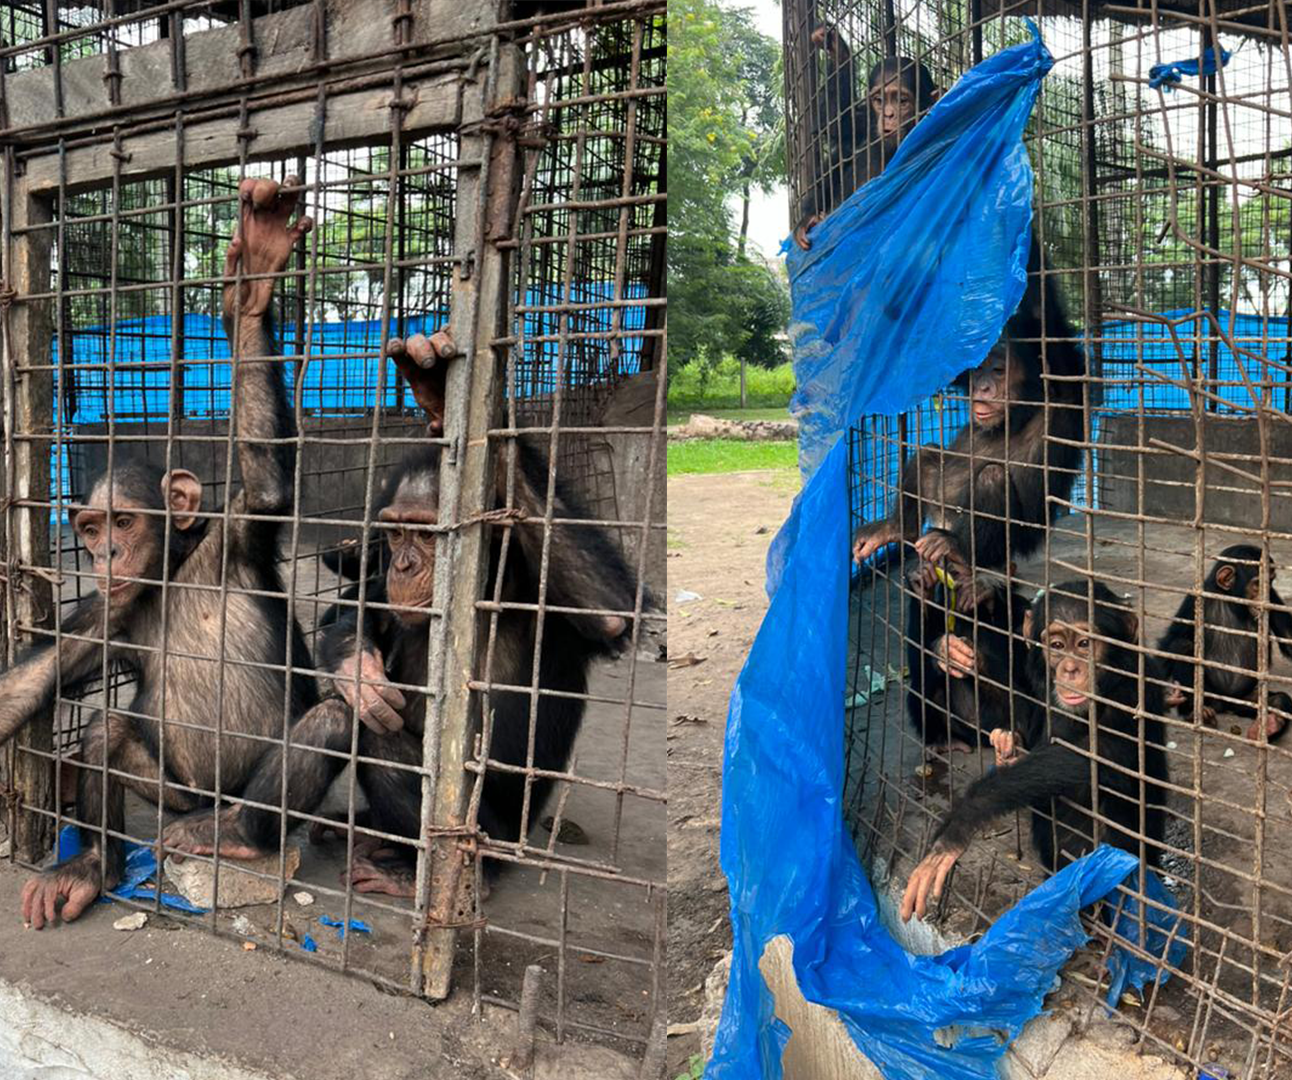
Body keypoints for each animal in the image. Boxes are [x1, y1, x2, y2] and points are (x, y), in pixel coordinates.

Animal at [3, 176, 316, 930]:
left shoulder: (238, 534)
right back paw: (93, 866)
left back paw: (234, 837)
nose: (105, 555)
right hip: (173, 795)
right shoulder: (101, 618)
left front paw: (251, 286)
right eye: (88, 529)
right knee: (106, 732)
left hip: (244, 808)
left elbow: (267, 480)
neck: (171, 576)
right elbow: (31, 682)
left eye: (124, 521)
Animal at [165, 341, 640, 899]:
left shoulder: (542, 603)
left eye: (428, 535)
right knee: (351, 715)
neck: (487, 588)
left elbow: (608, 613)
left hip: (487, 834)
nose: (404, 566)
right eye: (395, 534)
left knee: (372, 738)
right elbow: (353, 609)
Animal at [785, 27, 940, 253]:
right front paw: (836, 48)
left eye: (902, 101)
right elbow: (833, 123)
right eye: (879, 100)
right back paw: (810, 217)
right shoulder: (863, 121)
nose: (889, 115)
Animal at [899, 578, 1173, 924]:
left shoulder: (1134, 691)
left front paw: (962, 819)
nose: (1070, 669)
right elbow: (1019, 718)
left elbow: (1103, 755)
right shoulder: (1037, 685)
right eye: (1056, 645)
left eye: (1084, 643)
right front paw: (951, 652)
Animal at [1157, 540, 1292, 744]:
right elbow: (1171, 640)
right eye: (1257, 584)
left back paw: (1269, 724)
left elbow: (1288, 637)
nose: (1264, 594)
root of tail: (1227, 705)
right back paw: (1196, 712)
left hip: (1247, 698)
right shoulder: (1194, 600)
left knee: (1280, 700)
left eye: (1270, 583)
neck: (1233, 603)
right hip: (1210, 694)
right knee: (1182, 646)